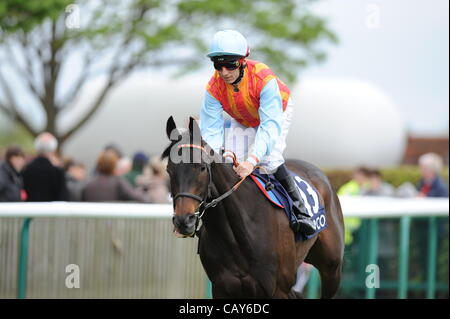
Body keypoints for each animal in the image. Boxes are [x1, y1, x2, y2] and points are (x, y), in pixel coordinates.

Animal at [163, 117, 346, 300]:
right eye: (169, 170)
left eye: (201, 167)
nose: (183, 221)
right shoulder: (222, 288)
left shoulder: (279, 289)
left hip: (332, 268)